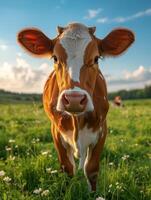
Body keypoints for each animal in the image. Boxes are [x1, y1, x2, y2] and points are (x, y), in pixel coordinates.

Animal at [17, 23, 134, 191]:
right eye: (55, 57)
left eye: (96, 58)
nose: (74, 99)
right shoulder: (56, 132)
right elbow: (67, 168)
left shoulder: (102, 129)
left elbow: (91, 169)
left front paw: (93, 193)